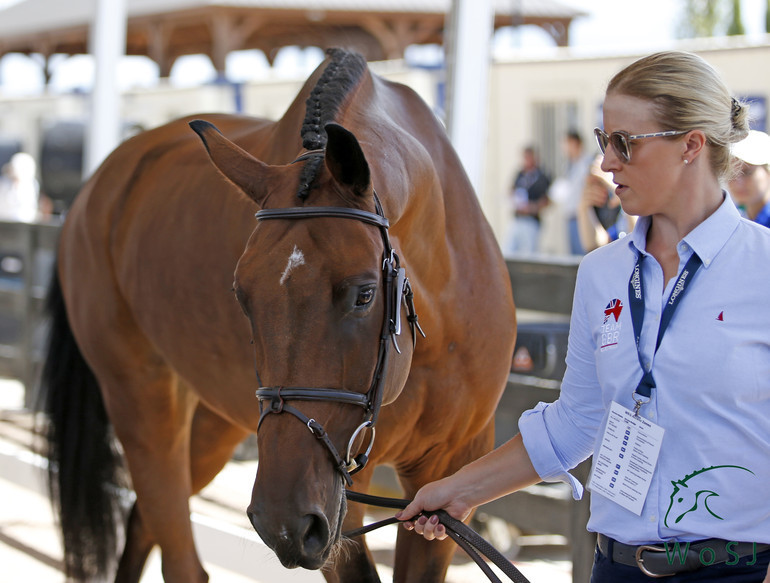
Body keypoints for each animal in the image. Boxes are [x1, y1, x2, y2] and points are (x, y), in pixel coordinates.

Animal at [39, 49, 512, 583]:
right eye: (241, 296)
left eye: (364, 294)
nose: (281, 523)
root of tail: (93, 188)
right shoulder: (340, 488)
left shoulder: (449, 474)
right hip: (141, 398)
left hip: (217, 424)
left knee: (145, 520)